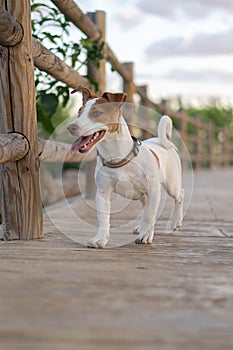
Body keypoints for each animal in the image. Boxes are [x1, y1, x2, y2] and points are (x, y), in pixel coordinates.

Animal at [67, 86, 184, 247]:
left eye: (97, 113)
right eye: (79, 112)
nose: (70, 127)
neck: (117, 157)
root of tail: (161, 140)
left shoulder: (154, 190)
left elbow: (150, 215)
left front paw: (146, 236)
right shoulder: (103, 193)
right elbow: (103, 218)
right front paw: (100, 239)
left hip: (171, 185)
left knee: (179, 195)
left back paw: (174, 221)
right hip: (143, 194)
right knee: (145, 206)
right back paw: (141, 227)